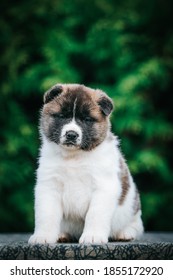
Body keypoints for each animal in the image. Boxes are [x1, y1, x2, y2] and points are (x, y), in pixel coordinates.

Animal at [28, 82, 143, 243]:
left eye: (87, 120)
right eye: (62, 116)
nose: (71, 134)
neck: (74, 156)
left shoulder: (103, 187)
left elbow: (95, 215)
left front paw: (93, 236)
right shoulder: (49, 186)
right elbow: (46, 215)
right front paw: (43, 236)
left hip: (132, 209)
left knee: (136, 225)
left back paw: (125, 233)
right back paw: (62, 235)